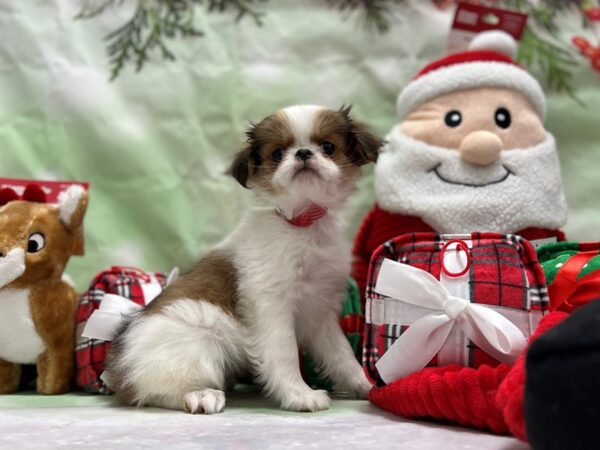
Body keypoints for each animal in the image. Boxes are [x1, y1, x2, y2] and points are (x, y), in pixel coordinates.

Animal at [105, 105, 382, 414]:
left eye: (328, 147)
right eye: (277, 154)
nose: (303, 153)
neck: (302, 226)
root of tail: (121, 370)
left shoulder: (320, 310)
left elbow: (340, 353)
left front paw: (365, 385)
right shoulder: (271, 304)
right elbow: (284, 352)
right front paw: (299, 395)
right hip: (200, 338)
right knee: (157, 390)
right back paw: (201, 394)